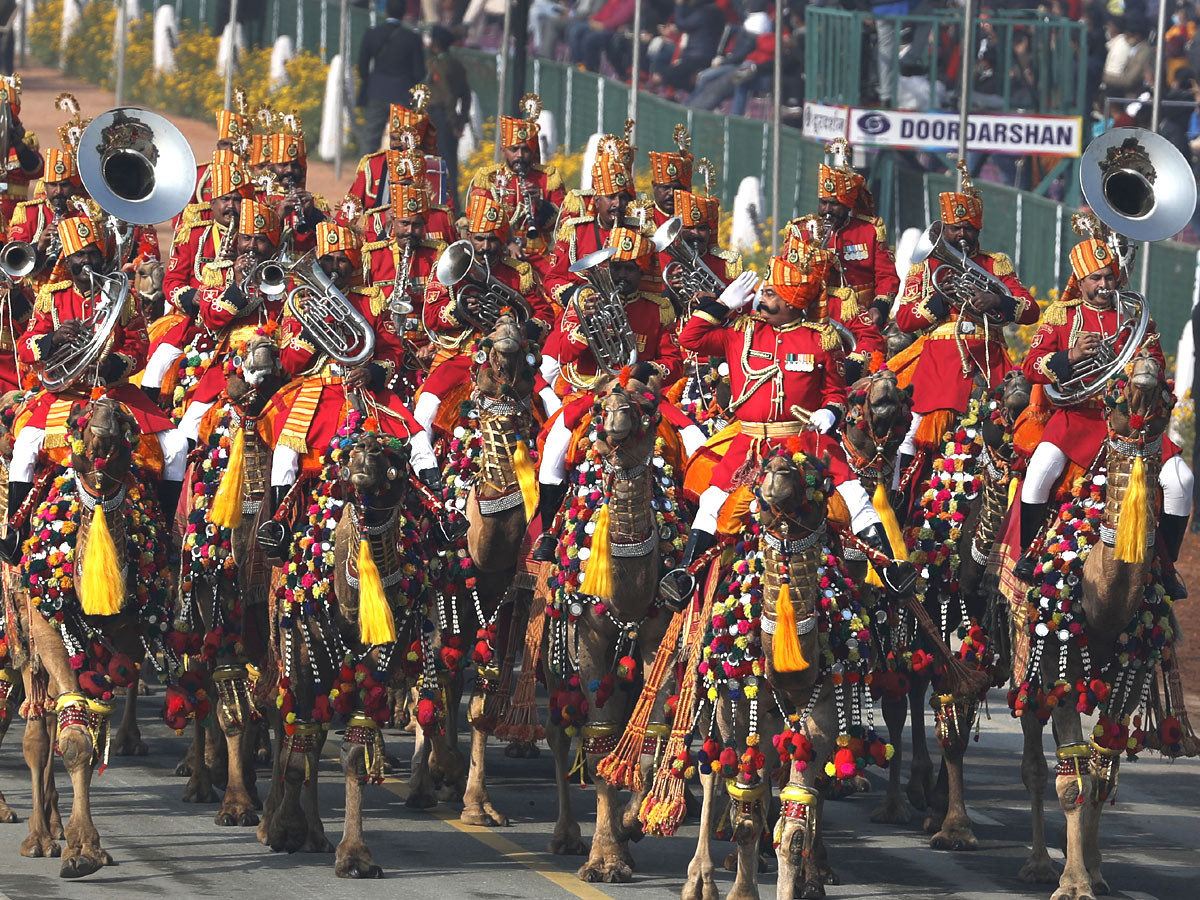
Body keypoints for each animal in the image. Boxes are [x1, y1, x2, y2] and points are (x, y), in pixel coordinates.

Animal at [12, 400, 175, 883]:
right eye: (78, 420)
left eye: (126, 423)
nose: (103, 415)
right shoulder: (45, 627)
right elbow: (75, 739)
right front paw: (79, 849)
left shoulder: (129, 635)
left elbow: (86, 725)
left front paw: (85, 848)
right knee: (36, 732)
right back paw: (38, 837)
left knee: (46, 719)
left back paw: (50, 827)